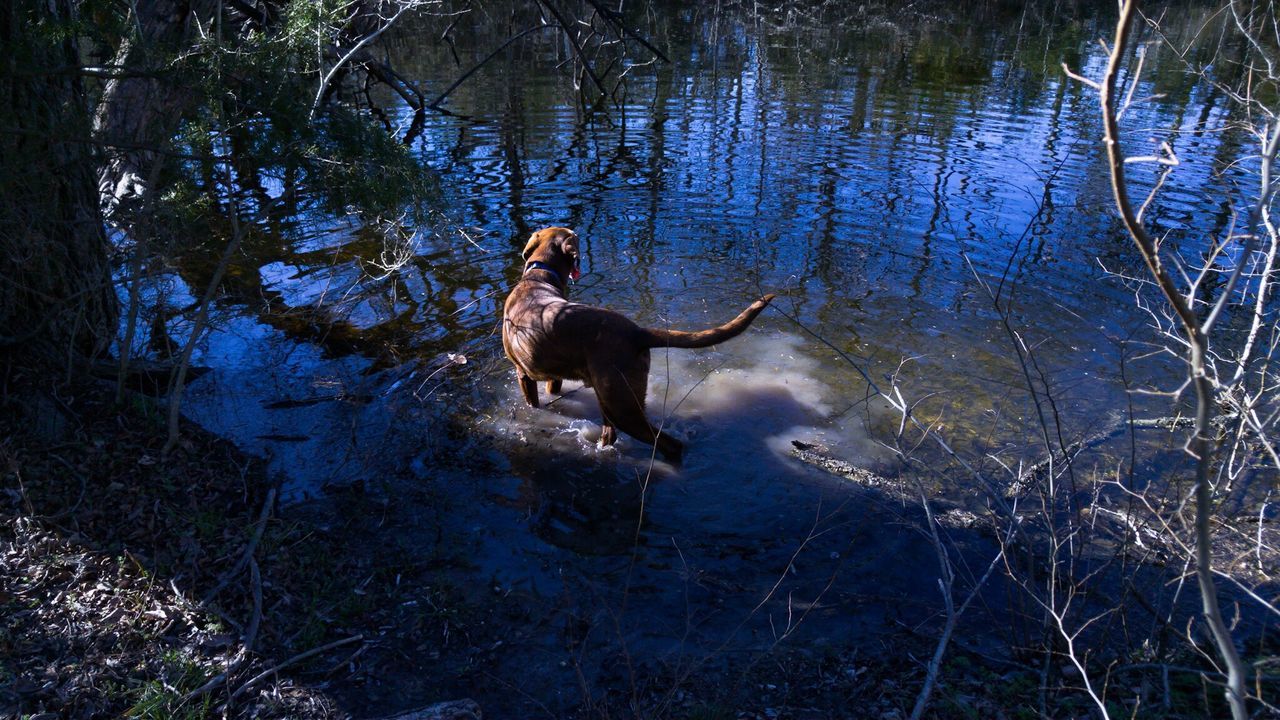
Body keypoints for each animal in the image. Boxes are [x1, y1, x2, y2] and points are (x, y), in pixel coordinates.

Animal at [501, 225, 773, 458]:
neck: (540, 276)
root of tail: (638, 332)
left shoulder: (522, 373)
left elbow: (533, 403)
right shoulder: (554, 375)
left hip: (621, 405)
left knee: (668, 443)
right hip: (610, 398)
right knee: (611, 434)